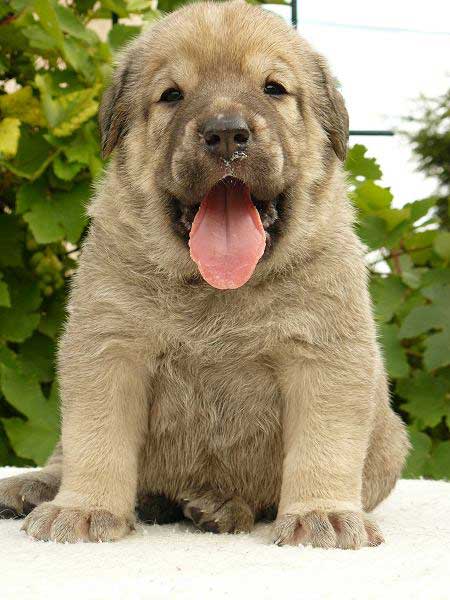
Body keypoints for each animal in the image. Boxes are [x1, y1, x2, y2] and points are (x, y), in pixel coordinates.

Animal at [0, 0, 408, 548]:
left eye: (273, 88)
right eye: (173, 94)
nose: (227, 133)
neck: (218, 291)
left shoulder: (324, 355)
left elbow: (324, 446)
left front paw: (322, 513)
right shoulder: (110, 347)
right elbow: (96, 439)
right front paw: (83, 508)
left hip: (388, 444)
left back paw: (218, 506)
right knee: (65, 455)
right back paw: (36, 487)